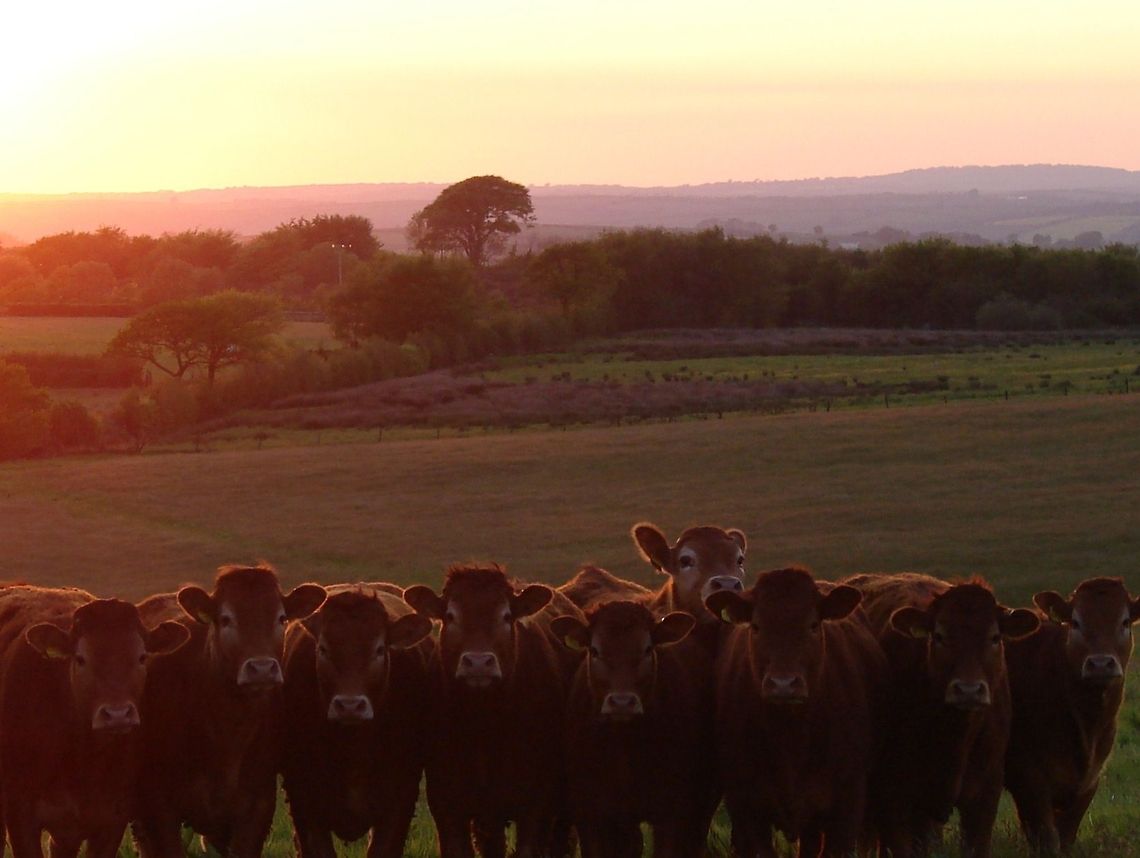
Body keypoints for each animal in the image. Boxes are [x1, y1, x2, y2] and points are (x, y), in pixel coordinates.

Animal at [404, 563, 585, 858]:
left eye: (506, 616)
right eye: (451, 616)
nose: (478, 662)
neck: (485, 727)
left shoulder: (535, 806)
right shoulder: (447, 804)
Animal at [706, 567, 886, 857]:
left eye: (813, 624)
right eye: (756, 626)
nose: (783, 684)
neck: (791, 739)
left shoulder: (848, 802)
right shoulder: (747, 805)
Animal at [1004, 577, 1140, 855]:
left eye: (1124, 622)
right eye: (1075, 622)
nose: (1100, 664)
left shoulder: (1090, 780)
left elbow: (1066, 837)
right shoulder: (1027, 777)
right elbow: (1047, 840)